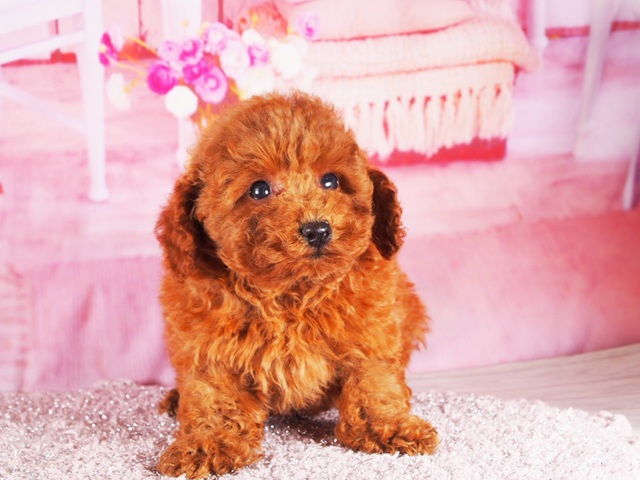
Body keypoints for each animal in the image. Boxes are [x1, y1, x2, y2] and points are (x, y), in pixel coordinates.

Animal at [155, 91, 438, 478]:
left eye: (331, 181)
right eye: (259, 189)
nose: (317, 229)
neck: (292, 292)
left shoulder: (372, 331)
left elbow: (374, 381)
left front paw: (390, 425)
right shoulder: (207, 347)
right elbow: (213, 397)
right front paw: (205, 445)